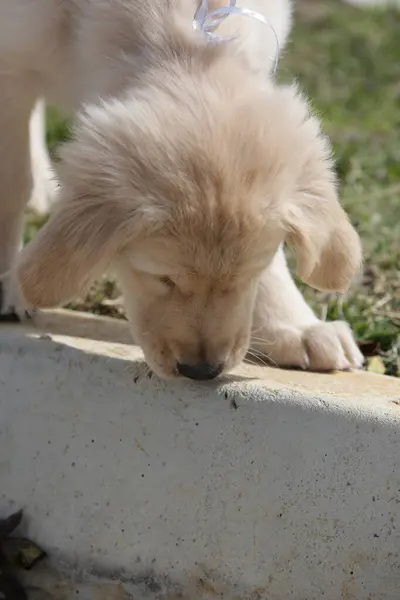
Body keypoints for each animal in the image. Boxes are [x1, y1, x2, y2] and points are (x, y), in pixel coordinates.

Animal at [0, 0, 364, 380]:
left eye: (249, 274)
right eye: (163, 278)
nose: (202, 371)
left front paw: (296, 326)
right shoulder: (10, 62)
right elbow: (12, 184)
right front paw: (9, 287)